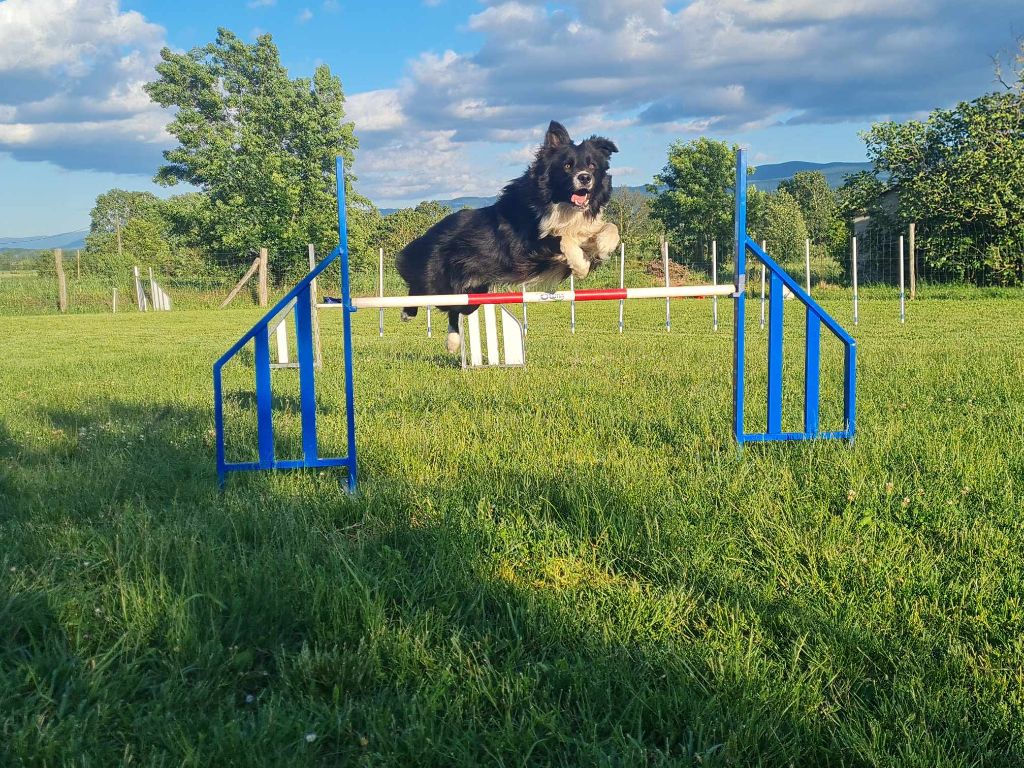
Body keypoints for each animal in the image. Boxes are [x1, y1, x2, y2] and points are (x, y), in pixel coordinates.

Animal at [395, 120, 618, 354]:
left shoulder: (583, 230)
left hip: (474, 293)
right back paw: (407, 314)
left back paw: (453, 341)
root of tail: (427, 234)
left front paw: (603, 246)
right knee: (421, 291)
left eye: (592, 166)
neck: (561, 206)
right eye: (567, 166)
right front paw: (580, 266)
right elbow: (563, 239)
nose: (584, 177)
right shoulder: (525, 246)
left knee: (456, 310)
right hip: (436, 281)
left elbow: (610, 228)